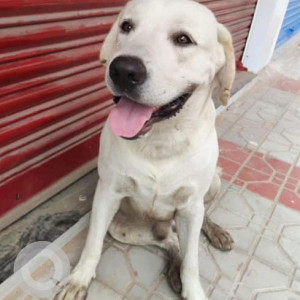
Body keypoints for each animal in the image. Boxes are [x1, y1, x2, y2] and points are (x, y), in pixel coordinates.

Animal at [55, 0, 236, 298]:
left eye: (183, 39)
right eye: (126, 26)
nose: (123, 70)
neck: (160, 141)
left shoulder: (191, 205)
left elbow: (192, 261)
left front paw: (192, 288)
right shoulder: (107, 193)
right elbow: (93, 243)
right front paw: (78, 279)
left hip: (212, 185)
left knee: (199, 221)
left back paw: (214, 232)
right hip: (123, 228)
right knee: (170, 239)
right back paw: (174, 266)